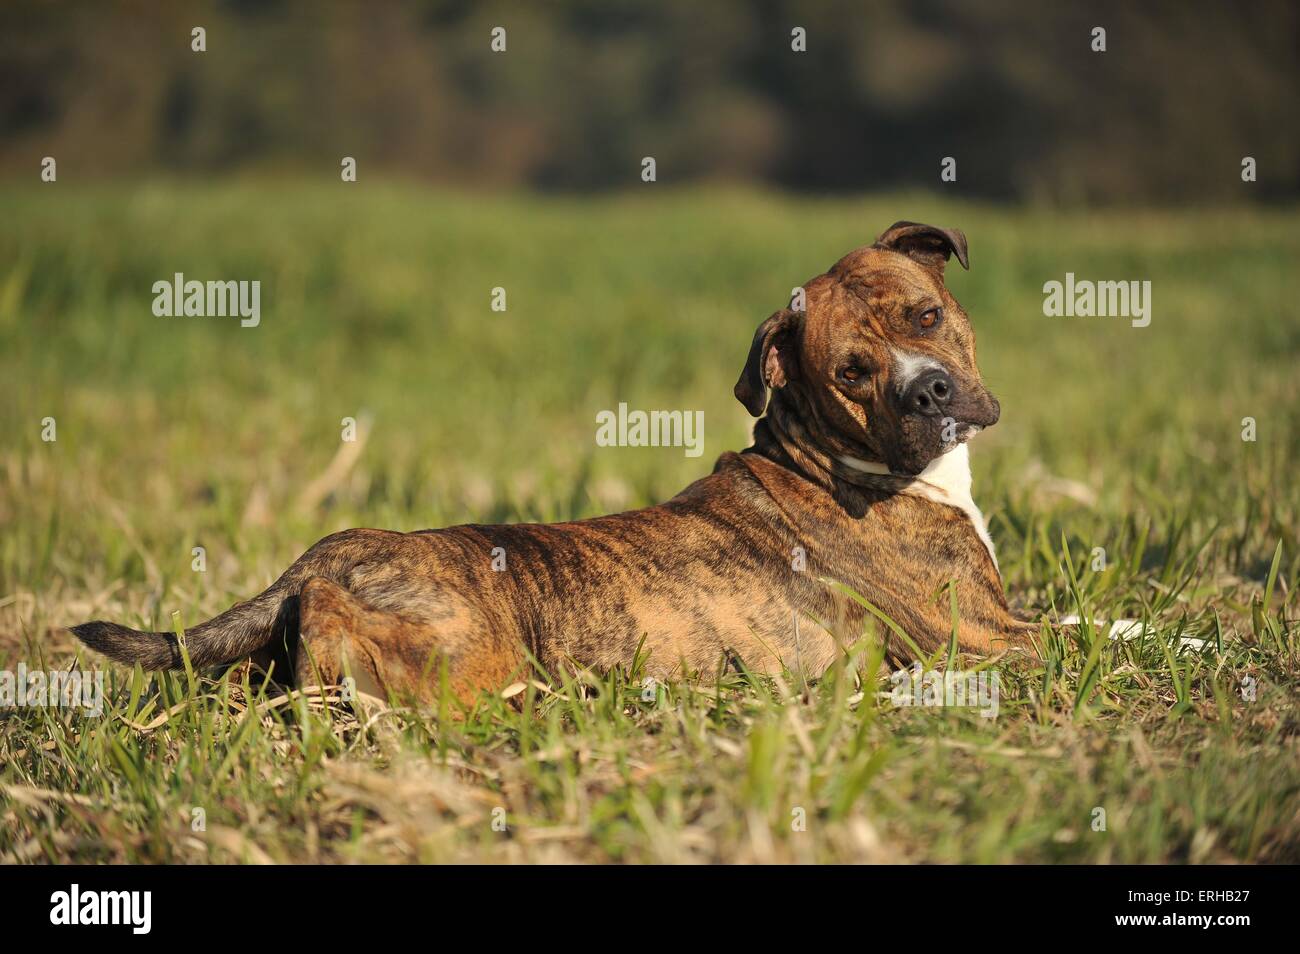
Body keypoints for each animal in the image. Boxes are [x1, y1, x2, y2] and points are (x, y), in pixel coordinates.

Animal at [73, 222, 1034, 701]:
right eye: (851, 372)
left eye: (925, 315)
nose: (930, 394)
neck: (828, 458)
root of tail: (318, 561)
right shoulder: (989, 639)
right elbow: (1064, 631)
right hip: (471, 655)